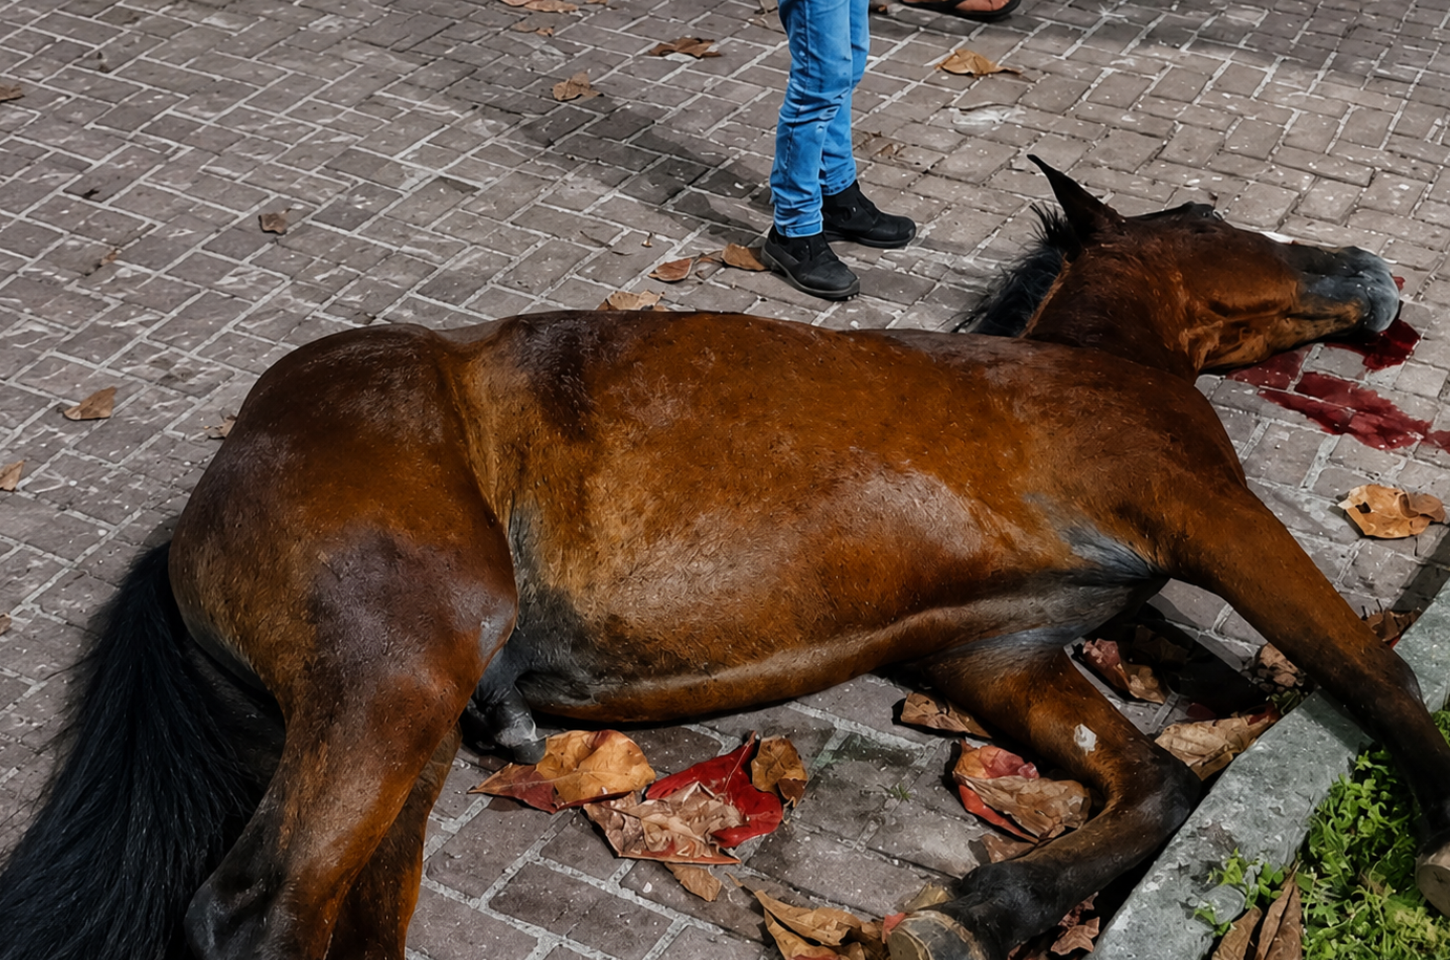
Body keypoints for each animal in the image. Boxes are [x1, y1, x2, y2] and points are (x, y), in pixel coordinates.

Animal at [2, 158, 1445, 960]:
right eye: (1209, 213)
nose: (1372, 268)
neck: (1083, 370)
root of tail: (211, 493)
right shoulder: (1211, 516)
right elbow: (1369, 677)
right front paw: (1430, 845)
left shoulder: (997, 652)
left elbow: (1164, 771)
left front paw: (972, 918)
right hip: (397, 668)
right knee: (250, 913)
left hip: (398, 732)